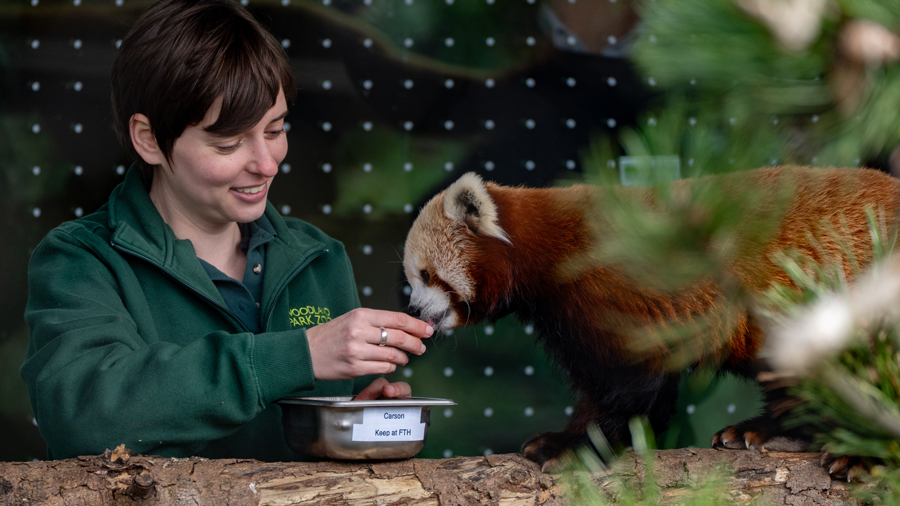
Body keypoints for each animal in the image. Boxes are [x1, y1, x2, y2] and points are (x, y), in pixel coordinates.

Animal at [402, 166, 900, 477]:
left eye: (424, 275)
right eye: (412, 278)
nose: (415, 312)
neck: (546, 249)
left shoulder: (612, 285)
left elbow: (630, 383)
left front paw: (572, 445)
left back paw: (863, 457)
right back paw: (769, 430)